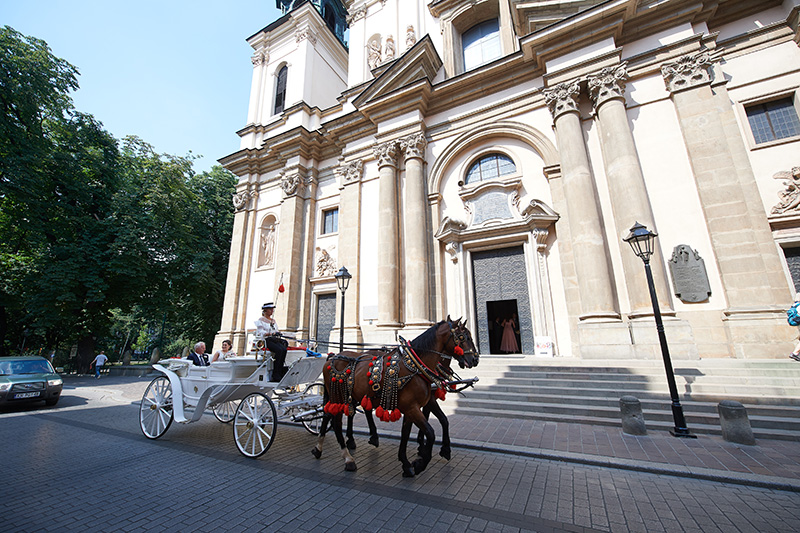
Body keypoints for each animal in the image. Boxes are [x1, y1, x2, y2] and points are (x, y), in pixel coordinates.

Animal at [310, 318, 476, 476]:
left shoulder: (416, 406)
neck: (416, 366)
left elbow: (415, 430)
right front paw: (420, 462)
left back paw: (322, 448)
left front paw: (408, 462)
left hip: (347, 396)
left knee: (333, 414)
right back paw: (348, 458)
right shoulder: (413, 407)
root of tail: (333, 356)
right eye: (463, 336)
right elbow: (430, 432)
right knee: (335, 421)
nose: (474, 359)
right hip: (338, 396)